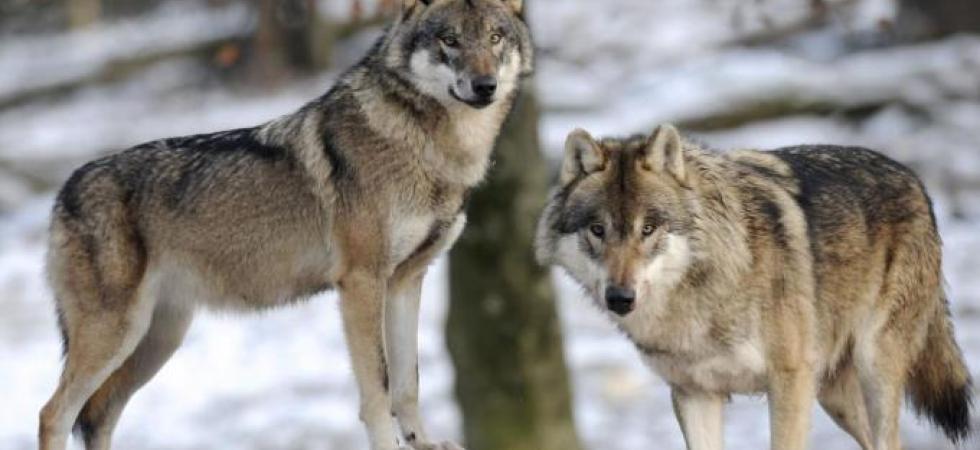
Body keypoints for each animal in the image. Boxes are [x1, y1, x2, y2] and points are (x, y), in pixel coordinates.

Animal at [37, 1, 531, 449]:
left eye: (495, 37)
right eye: (449, 39)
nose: (484, 85)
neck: (433, 151)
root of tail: (63, 192)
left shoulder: (407, 281)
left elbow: (408, 384)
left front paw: (424, 443)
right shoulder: (361, 283)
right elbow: (378, 390)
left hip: (157, 340)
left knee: (99, 418)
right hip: (117, 336)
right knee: (54, 413)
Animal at [536, 125, 973, 450]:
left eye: (649, 228)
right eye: (597, 230)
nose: (620, 298)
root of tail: (913, 178)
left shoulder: (790, 382)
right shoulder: (695, 394)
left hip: (873, 366)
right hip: (834, 395)